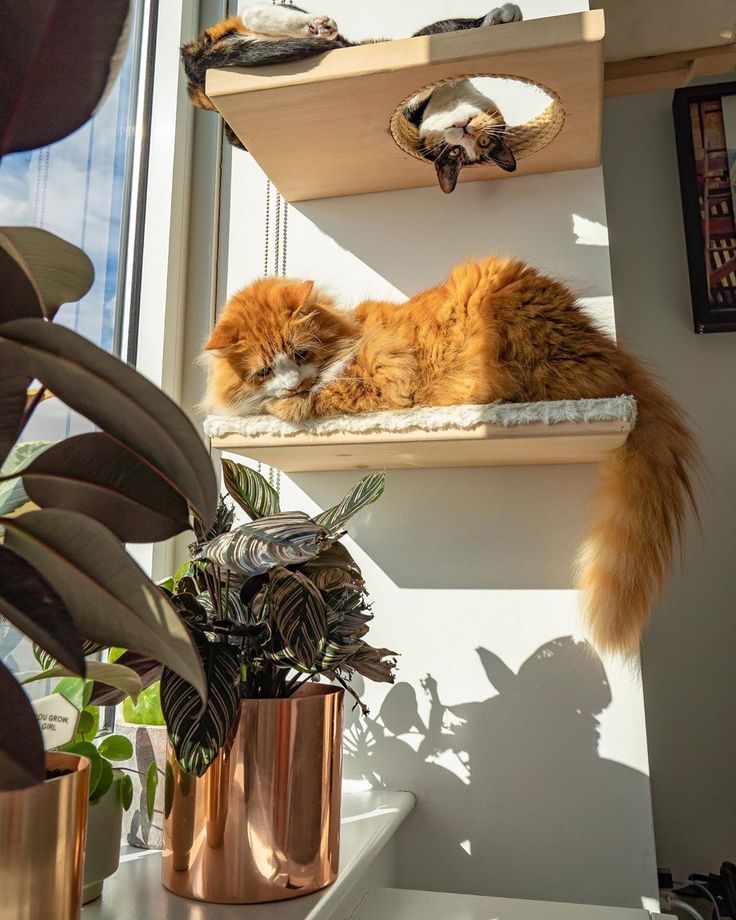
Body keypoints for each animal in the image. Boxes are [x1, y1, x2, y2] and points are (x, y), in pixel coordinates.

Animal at [181, 0, 520, 190]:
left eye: (461, 153)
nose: (462, 132)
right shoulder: (424, 46)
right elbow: (446, 27)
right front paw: (502, 15)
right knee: (255, 12)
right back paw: (316, 26)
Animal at [203, 255, 700, 656]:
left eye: (301, 353)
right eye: (264, 369)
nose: (293, 384)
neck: (348, 335)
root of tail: (613, 355)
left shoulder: (380, 380)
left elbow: (322, 397)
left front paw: (286, 405)